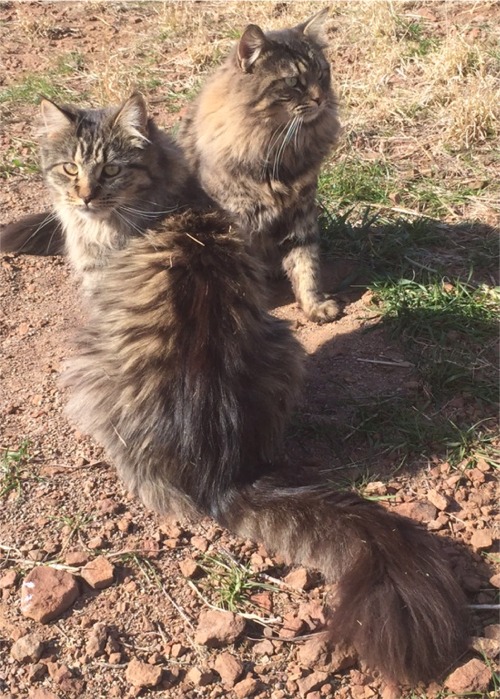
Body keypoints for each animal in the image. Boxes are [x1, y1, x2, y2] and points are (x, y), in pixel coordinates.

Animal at [180, 7, 344, 322]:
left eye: (321, 73)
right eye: (293, 82)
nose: (321, 99)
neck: (275, 145)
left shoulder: (301, 210)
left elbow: (306, 264)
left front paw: (315, 306)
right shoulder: (237, 219)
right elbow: (243, 281)